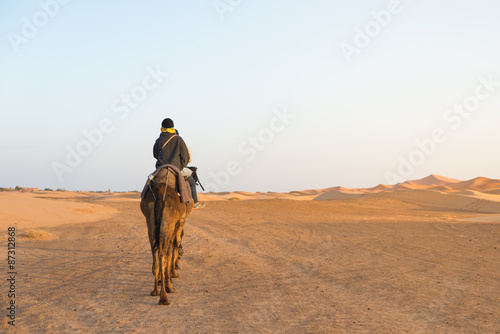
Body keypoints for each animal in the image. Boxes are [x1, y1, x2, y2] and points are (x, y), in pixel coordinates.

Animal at [143, 167, 195, 306]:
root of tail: (161, 192)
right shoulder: (179, 222)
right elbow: (175, 245)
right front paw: (172, 276)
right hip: (169, 220)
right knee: (164, 253)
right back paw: (165, 295)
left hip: (150, 221)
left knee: (155, 251)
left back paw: (155, 291)